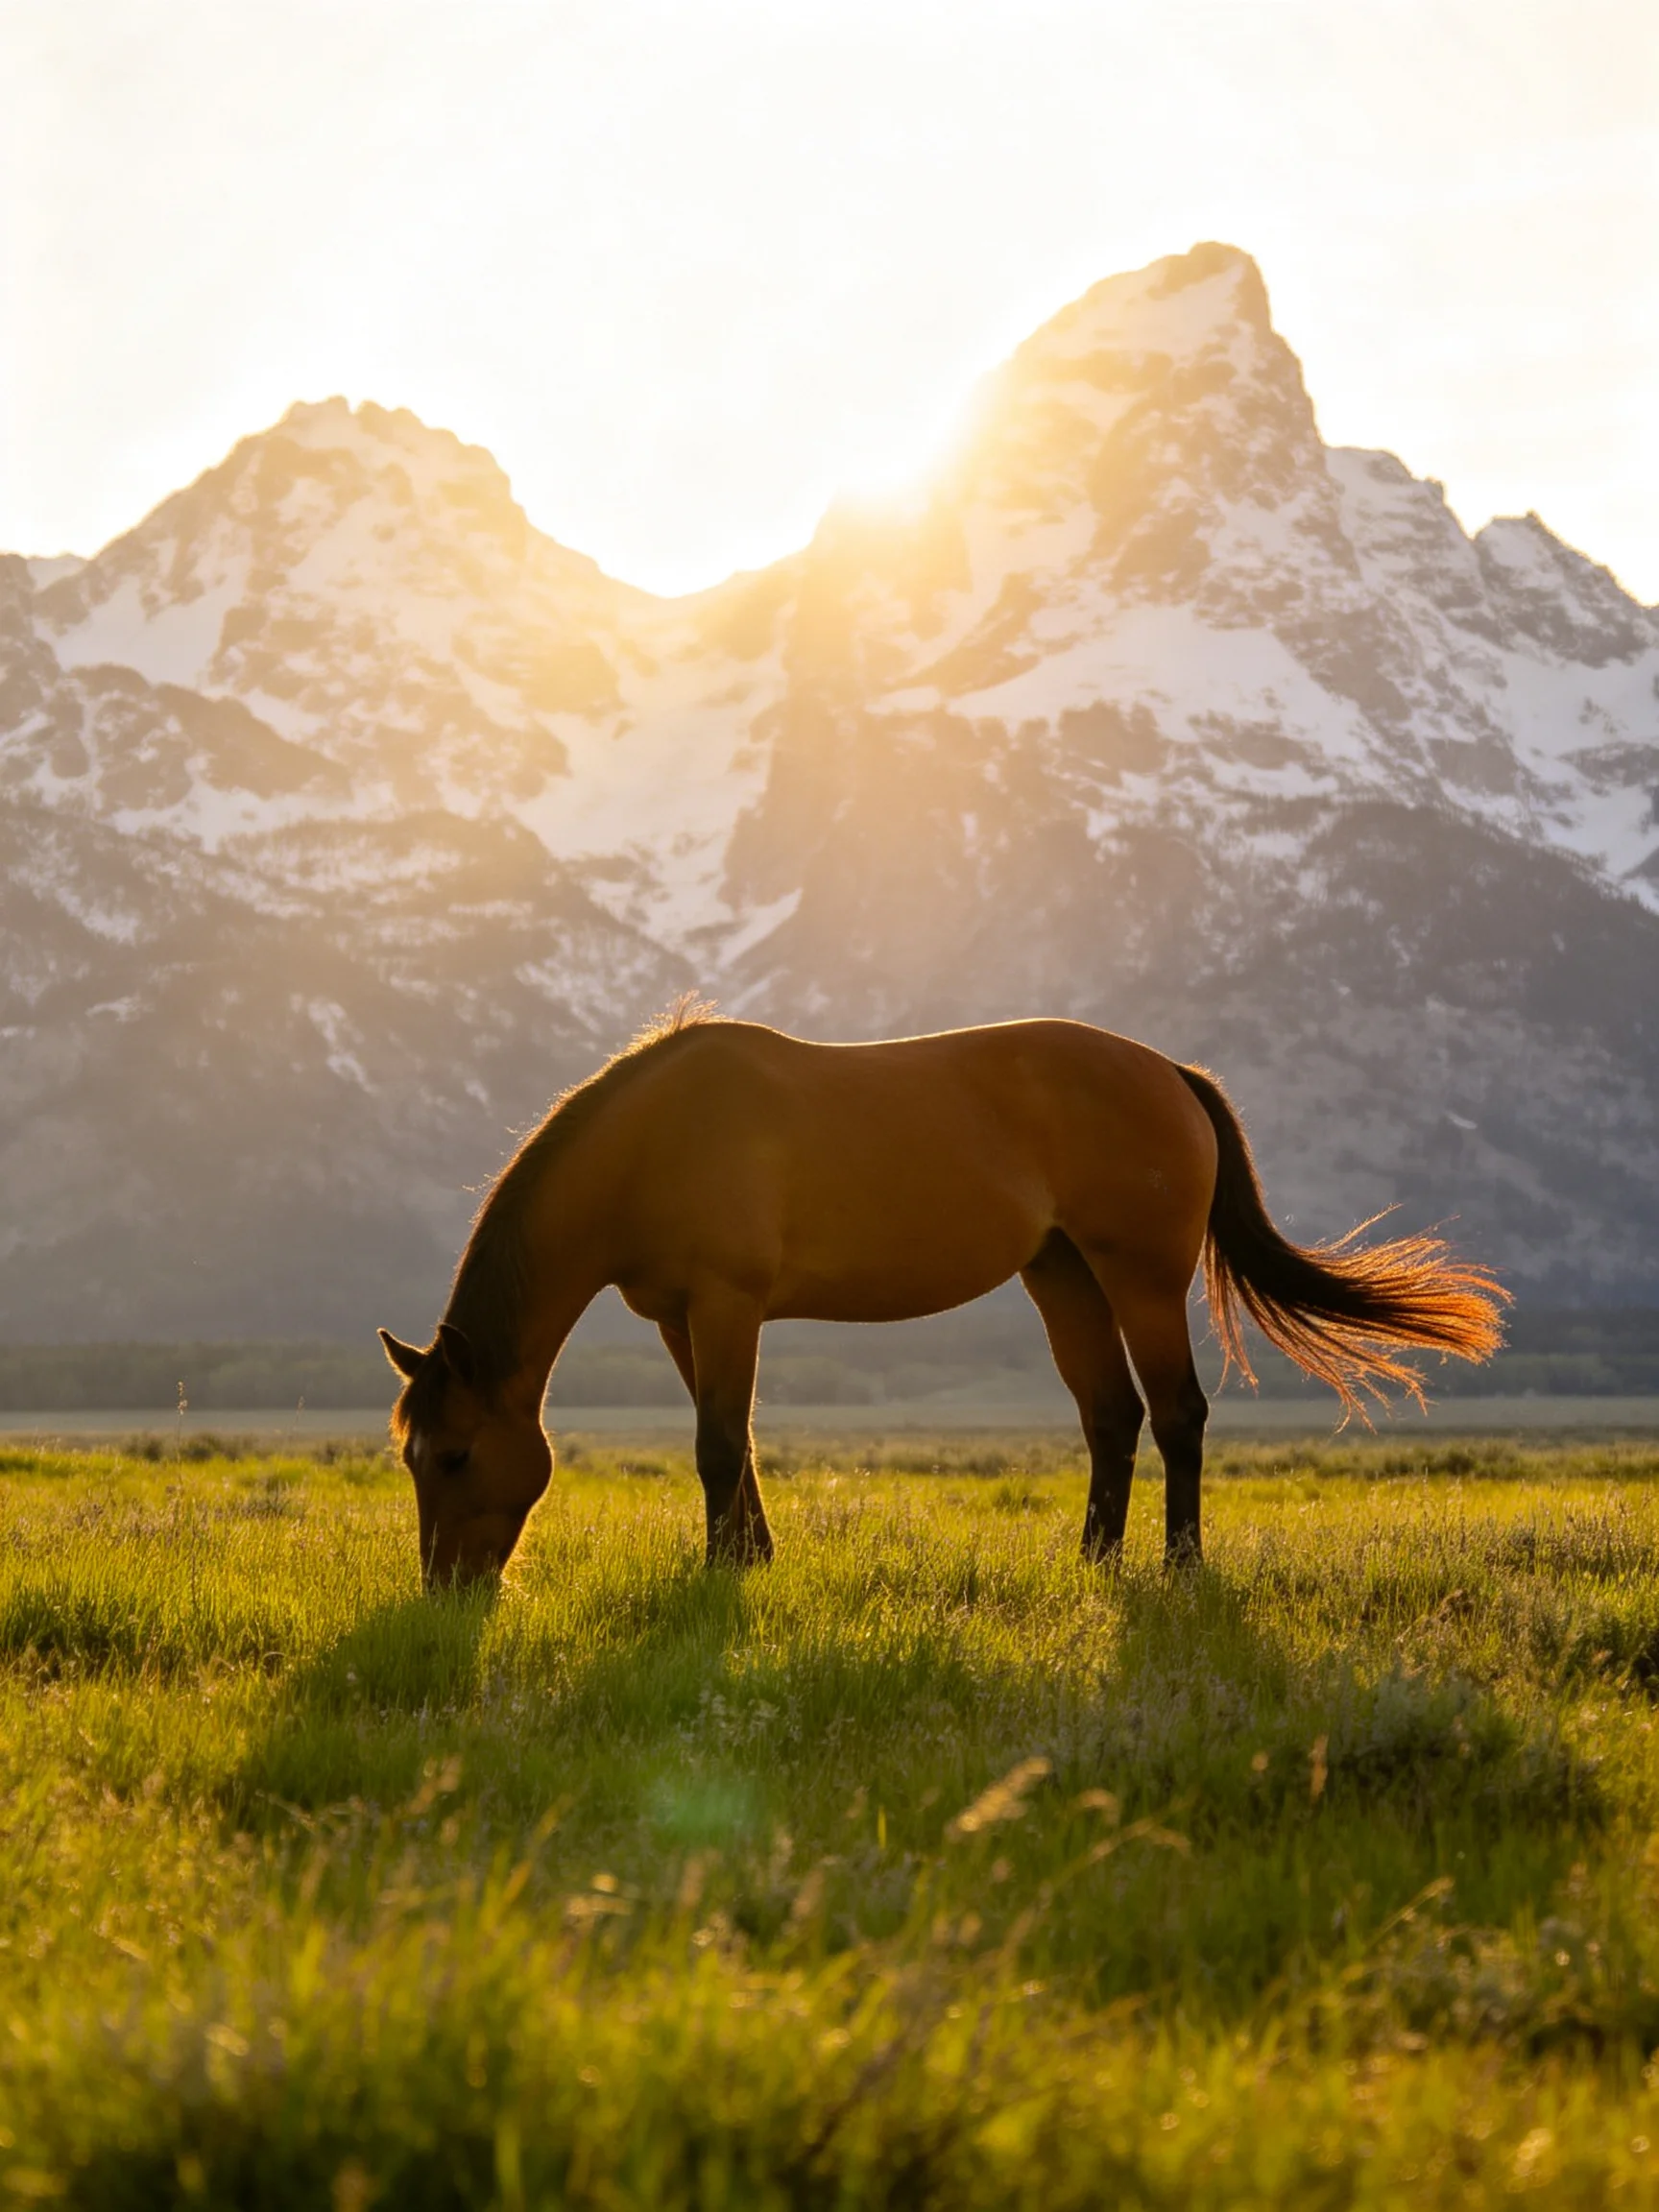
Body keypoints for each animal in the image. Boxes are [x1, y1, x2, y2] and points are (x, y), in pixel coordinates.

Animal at [380, 1006, 1505, 1587]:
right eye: (411, 1459)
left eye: (456, 1455)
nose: (445, 1591)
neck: (652, 1141)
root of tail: (1173, 1074)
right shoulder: (677, 1318)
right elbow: (734, 1443)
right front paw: (752, 1558)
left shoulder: (727, 1304)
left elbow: (716, 1445)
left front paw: (720, 1575)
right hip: (1061, 1275)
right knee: (1112, 1415)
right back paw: (1091, 1562)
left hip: (1140, 1275)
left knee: (1178, 1413)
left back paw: (1179, 1566)